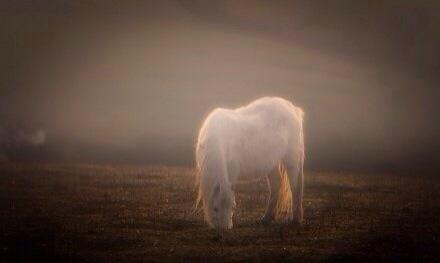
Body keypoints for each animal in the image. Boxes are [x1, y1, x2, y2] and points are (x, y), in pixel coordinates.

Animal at [196, 97, 306, 231]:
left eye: (233, 207)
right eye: (215, 208)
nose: (224, 228)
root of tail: (293, 109)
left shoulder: (232, 171)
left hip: (292, 159)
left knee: (296, 186)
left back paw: (296, 220)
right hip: (271, 163)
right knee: (276, 184)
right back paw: (266, 218)